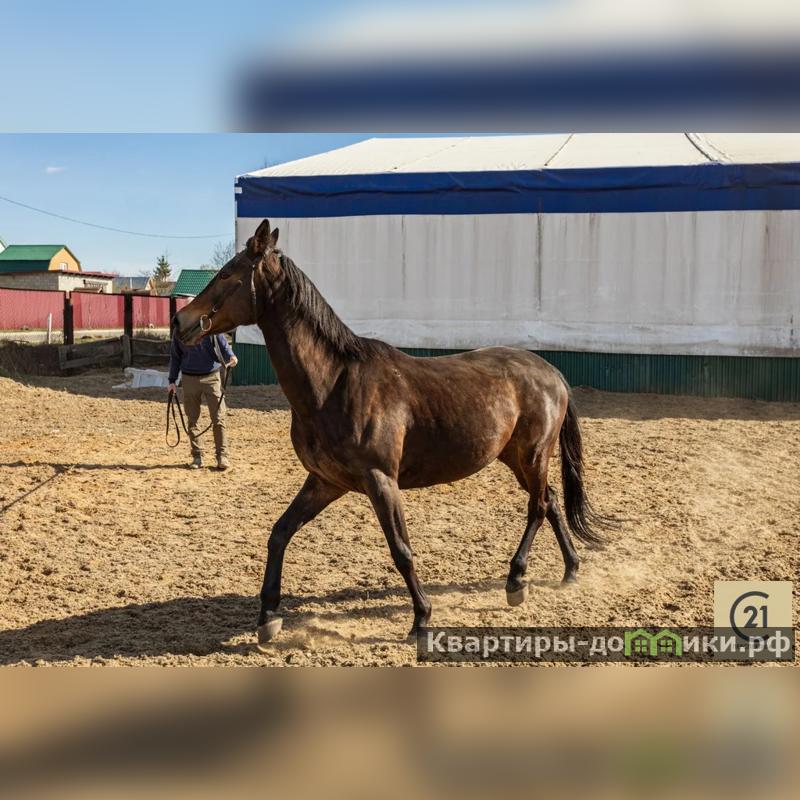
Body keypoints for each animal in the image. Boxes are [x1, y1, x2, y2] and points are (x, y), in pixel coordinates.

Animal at [175, 219, 613, 643]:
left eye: (227, 273)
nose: (181, 321)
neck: (334, 382)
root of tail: (551, 372)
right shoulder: (325, 481)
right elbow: (279, 533)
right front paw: (268, 616)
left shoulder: (381, 479)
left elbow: (401, 550)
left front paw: (422, 619)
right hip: (516, 459)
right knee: (551, 502)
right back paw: (570, 570)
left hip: (533, 456)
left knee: (538, 507)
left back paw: (516, 580)